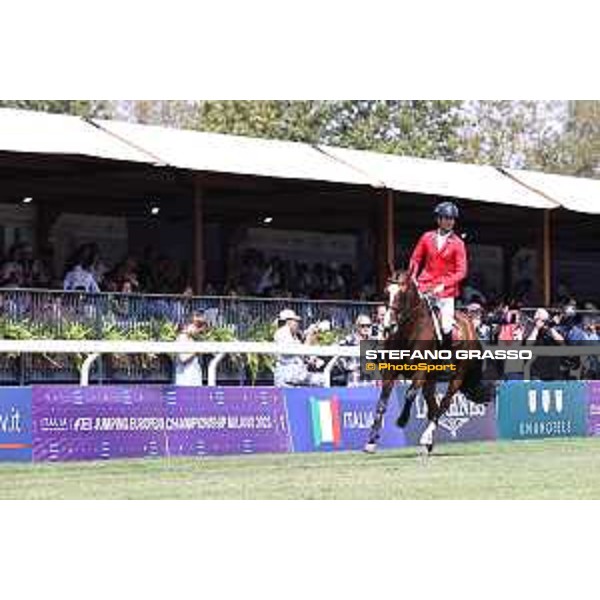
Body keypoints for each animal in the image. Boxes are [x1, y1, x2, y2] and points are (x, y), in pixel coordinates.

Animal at [366, 270, 496, 452]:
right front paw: (371, 441)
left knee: (444, 403)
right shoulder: (390, 371)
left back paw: (426, 437)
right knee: (433, 406)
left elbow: (410, 393)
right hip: (431, 378)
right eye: (386, 292)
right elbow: (382, 402)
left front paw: (402, 420)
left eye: (402, 294)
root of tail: (470, 326)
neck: (410, 330)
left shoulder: (420, 372)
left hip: (457, 377)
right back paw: (428, 443)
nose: (388, 326)